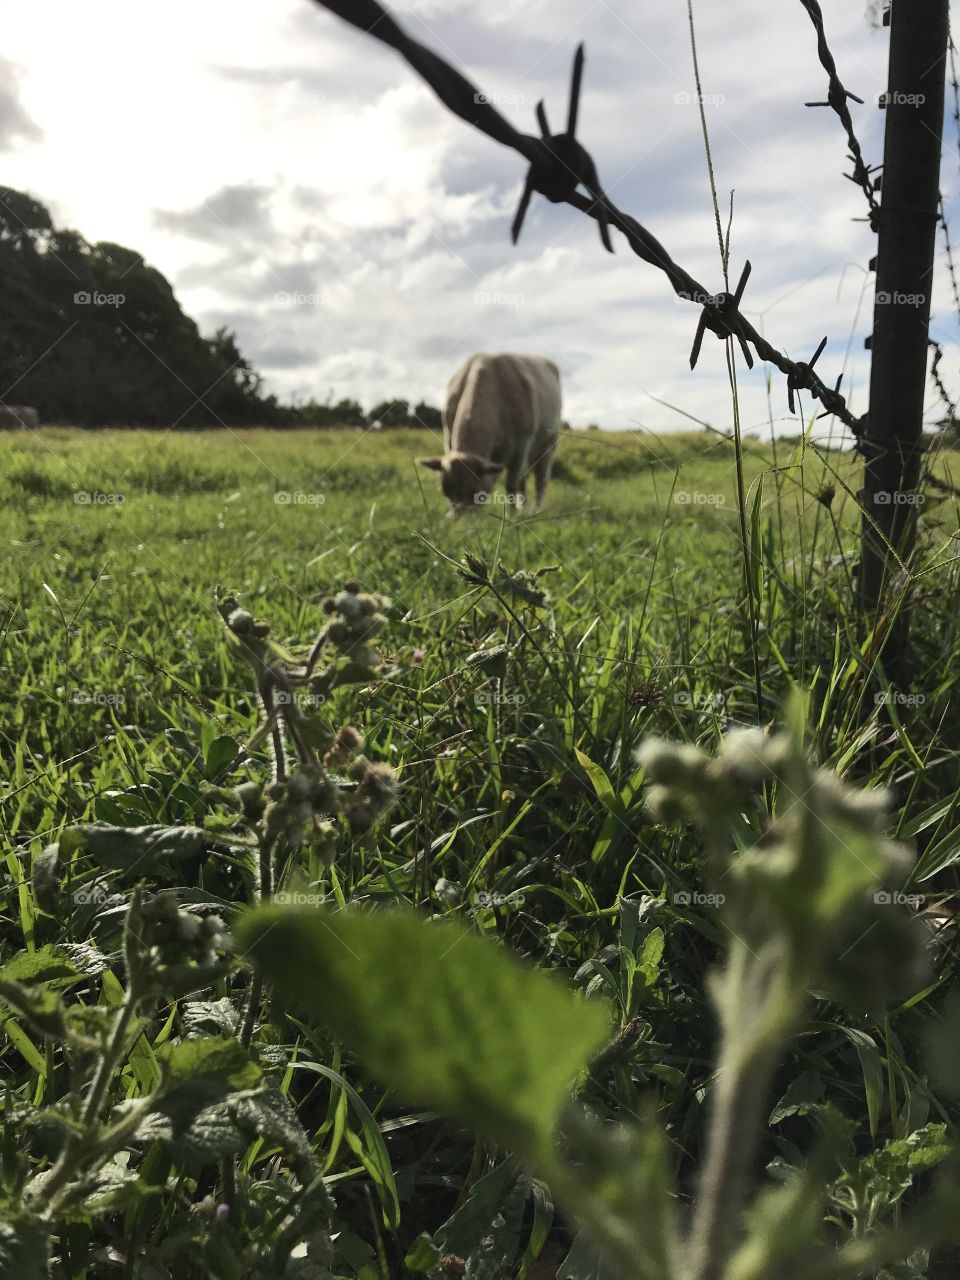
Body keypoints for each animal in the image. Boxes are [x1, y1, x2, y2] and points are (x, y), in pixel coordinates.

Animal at [418, 353, 561, 512]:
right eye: (445, 492)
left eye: (475, 493)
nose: (458, 519)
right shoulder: (448, 439)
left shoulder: (522, 446)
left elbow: (511, 485)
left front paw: (512, 515)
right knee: (523, 480)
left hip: (549, 444)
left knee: (540, 480)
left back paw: (535, 511)